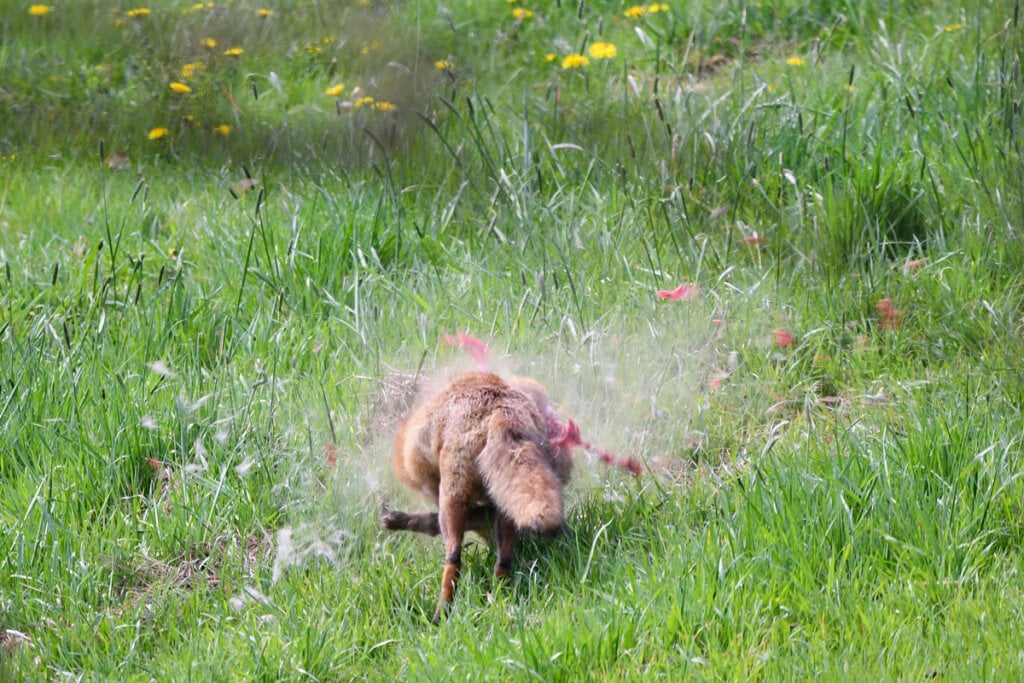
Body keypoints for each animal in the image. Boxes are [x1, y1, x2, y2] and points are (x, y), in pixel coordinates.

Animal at [382, 371, 574, 622]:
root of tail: (499, 406)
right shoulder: (492, 505)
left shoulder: (449, 497)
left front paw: (400, 520)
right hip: (504, 510)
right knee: (504, 561)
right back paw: (500, 598)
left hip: (453, 501)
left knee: (454, 560)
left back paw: (441, 614)